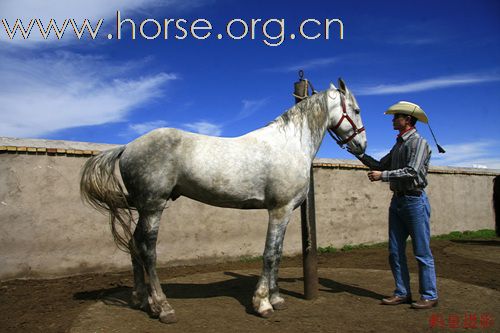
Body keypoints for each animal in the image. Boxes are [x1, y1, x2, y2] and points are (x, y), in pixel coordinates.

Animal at [79, 78, 368, 322]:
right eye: (356, 110)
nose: (362, 146)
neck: (290, 144)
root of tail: (127, 147)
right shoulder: (279, 210)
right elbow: (269, 254)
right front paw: (263, 303)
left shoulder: (285, 213)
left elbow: (278, 253)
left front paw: (276, 298)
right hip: (153, 207)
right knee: (147, 251)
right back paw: (163, 307)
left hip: (144, 208)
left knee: (133, 245)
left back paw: (141, 299)